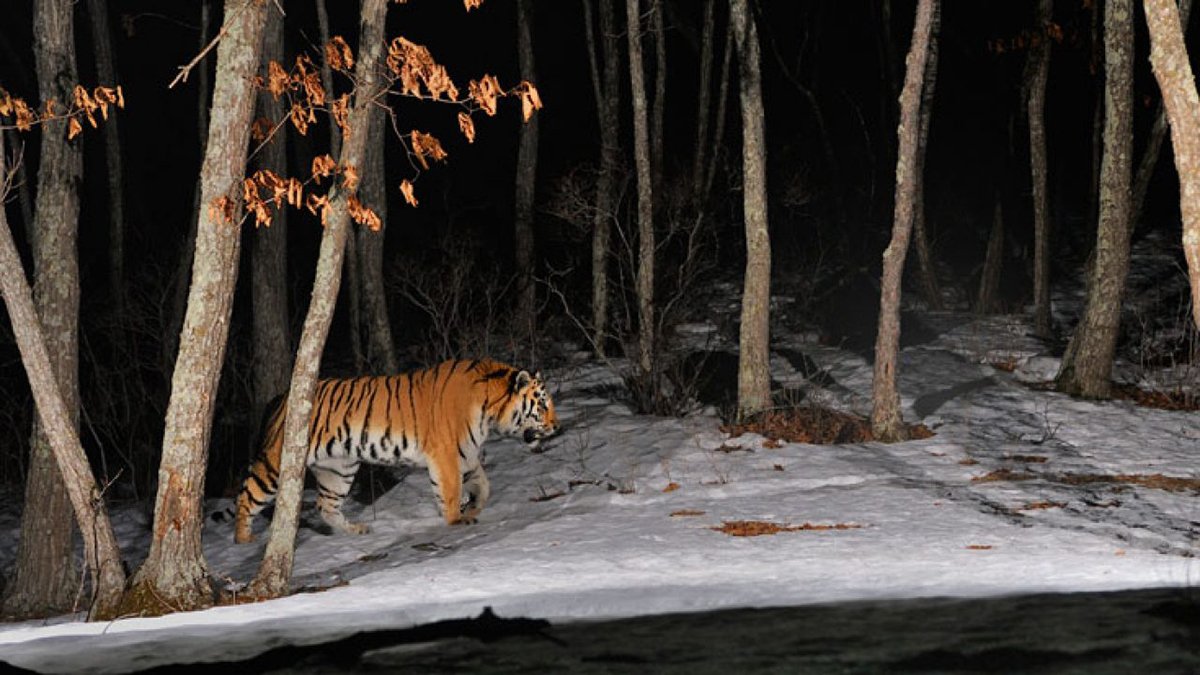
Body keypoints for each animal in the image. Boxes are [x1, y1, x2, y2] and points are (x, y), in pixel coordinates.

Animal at [234, 358, 560, 543]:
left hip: (338, 468)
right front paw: (457, 520)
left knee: (326, 505)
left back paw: (356, 530)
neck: (489, 409)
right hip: (277, 463)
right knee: (247, 494)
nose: (556, 426)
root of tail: (282, 397)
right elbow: (450, 491)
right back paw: (243, 539)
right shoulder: (446, 453)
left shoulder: (465, 453)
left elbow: (484, 485)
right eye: (542, 405)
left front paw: (474, 507)